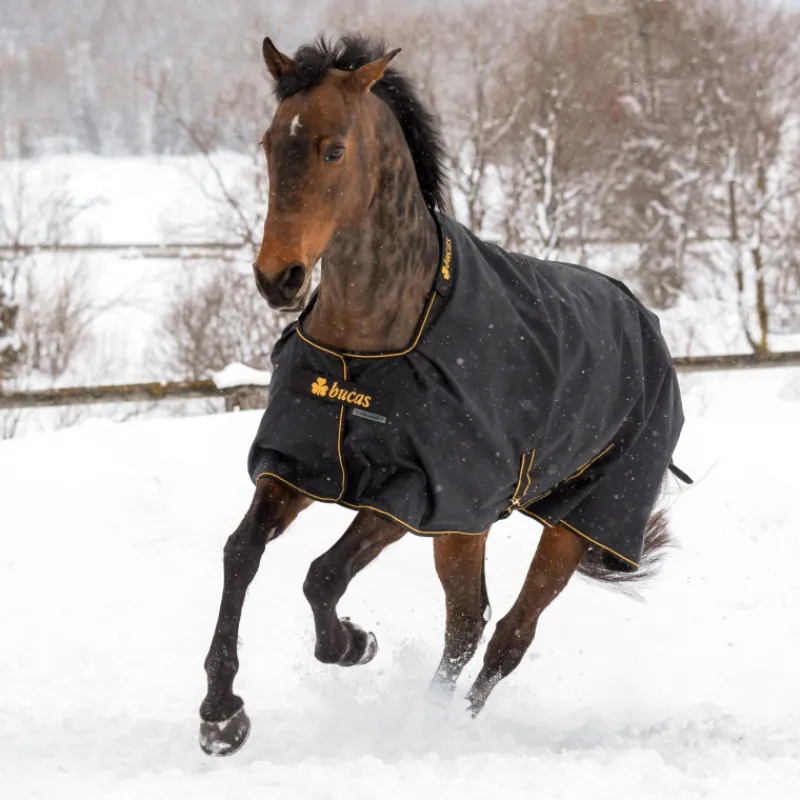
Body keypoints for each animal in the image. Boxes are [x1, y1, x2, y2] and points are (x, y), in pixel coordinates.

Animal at [198, 35, 689, 757]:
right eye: (267, 143)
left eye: (333, 149)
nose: (277, 278)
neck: (368, 347)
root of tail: (644, 320)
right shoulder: (301, 467)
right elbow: (241, 553)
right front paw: (221, 715)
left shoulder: (414, 492)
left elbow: (322, 574)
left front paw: (355, 644)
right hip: (467, 527)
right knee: (467, 620)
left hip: (569, 522)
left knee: (506, 633)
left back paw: (436, 729)